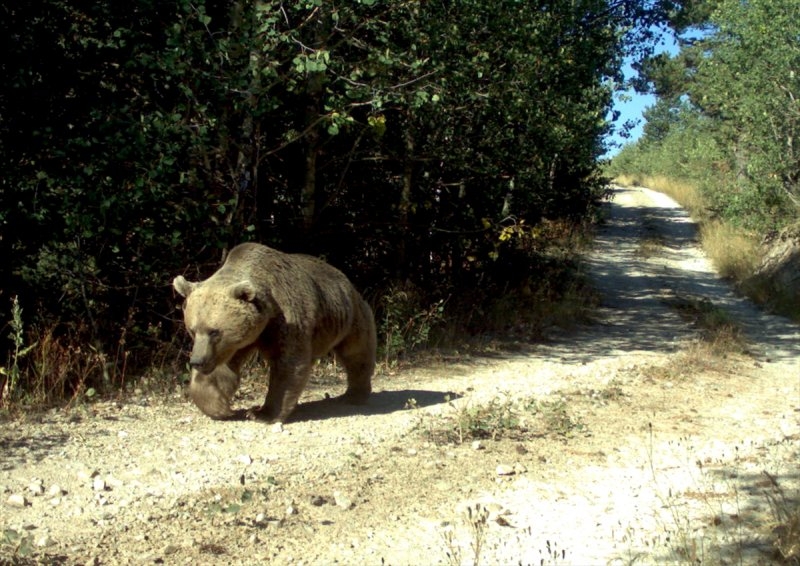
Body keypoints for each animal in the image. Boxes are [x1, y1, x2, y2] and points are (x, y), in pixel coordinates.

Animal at [171, 242, 376, 424]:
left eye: (214, 331)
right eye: (192, 330)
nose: (196, 361)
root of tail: (348, 282)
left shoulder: (287, 320)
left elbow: (288, 364)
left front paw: (262, 414)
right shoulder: (238, 342)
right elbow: (222, 370)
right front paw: (219, 408)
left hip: (351, 318)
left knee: (356, 353)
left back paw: (354, 395)